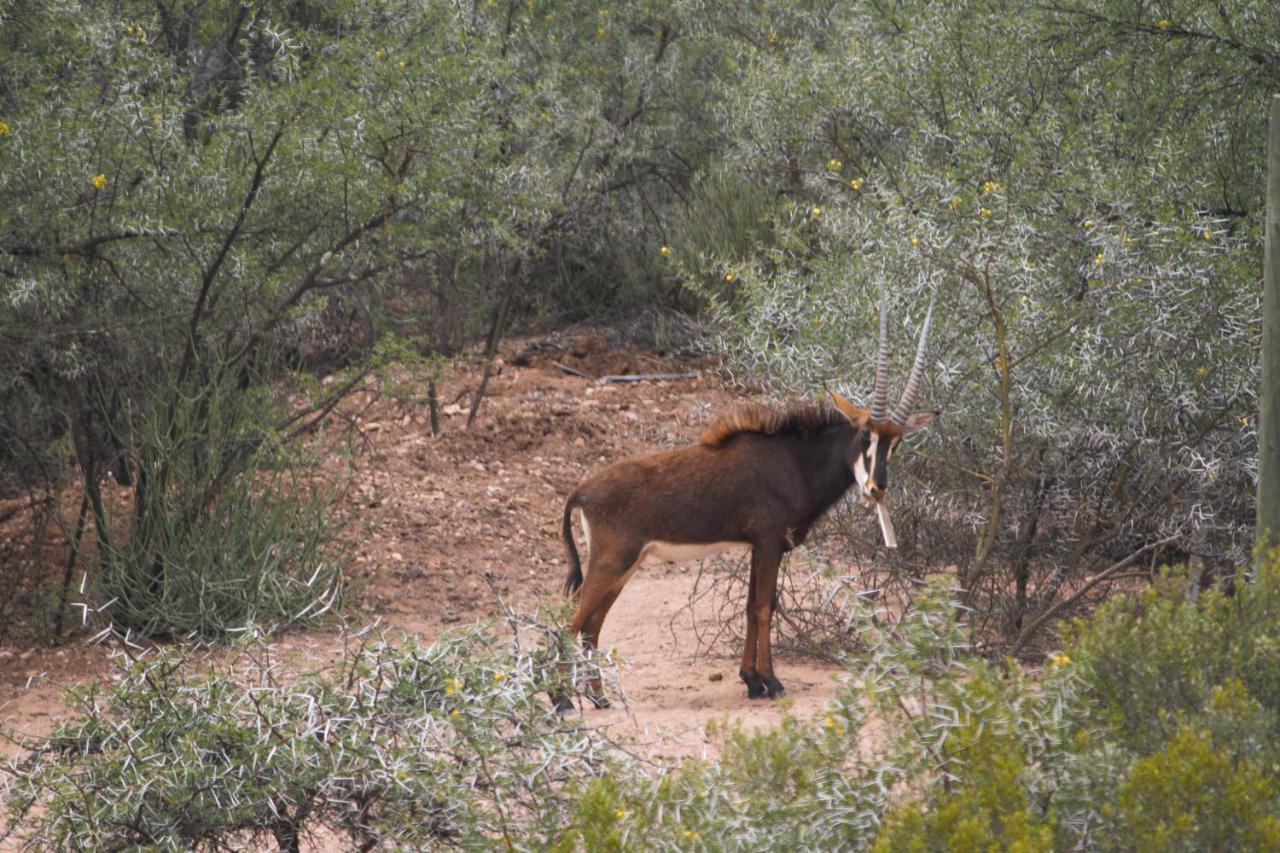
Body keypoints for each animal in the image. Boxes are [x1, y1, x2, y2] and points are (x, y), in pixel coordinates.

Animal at [555, 294, 936, 701]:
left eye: (896, 442)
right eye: (865, 435)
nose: (876, 487)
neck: (796, 460)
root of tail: (582, 491)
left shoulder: (759, 545)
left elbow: (752, 605)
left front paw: (752, 681)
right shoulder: (769, 542)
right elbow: (765, 606)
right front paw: (772, 681)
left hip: (627, 565)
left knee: (592, 624)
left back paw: (597, 697)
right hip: (612, 562)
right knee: (571, 623)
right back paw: (562, 702)